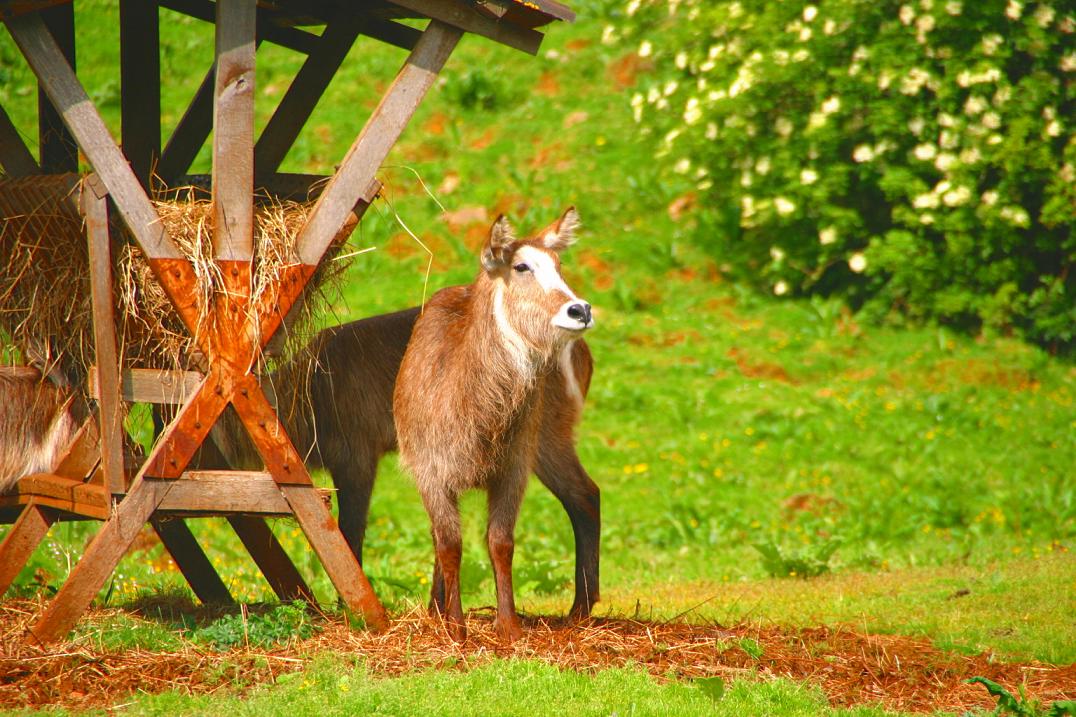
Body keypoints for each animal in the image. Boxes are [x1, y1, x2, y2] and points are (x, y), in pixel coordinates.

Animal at [205, 303, 602, 615]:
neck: (307, 393)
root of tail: (582, 350)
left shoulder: (357, 458)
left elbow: (349, 531)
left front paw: (348, 606)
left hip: (542, 440)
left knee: (586, 496)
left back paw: (580, 608)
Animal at [395, 203, 598, 637]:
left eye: (559, 264)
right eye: (521, 266)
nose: (581, 310)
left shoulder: (513, 468)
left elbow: (501, 541)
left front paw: (508, 625)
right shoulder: (430, 472)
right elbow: (449, 543)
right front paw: (455, 627)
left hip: (549, 440)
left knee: (585, 495)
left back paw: (580, 609)